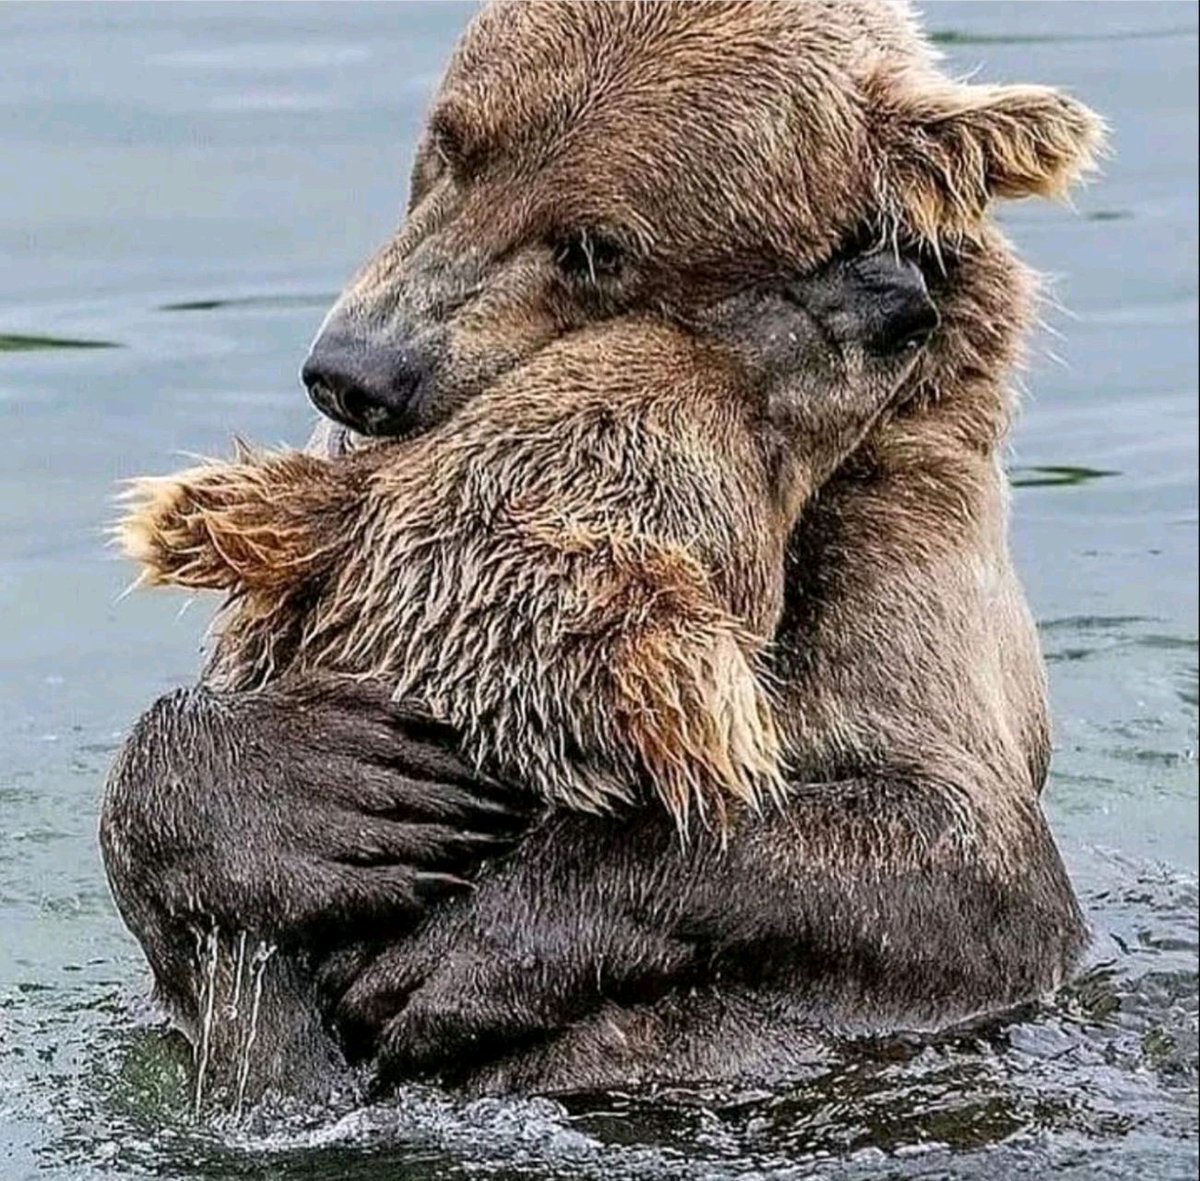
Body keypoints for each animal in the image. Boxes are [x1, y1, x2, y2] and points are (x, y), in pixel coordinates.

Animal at [100, 0, 1106, 1100]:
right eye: (453, 142)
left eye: (594, 245)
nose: (356, 370)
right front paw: (329, 787)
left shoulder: (901, 568)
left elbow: (958, 851)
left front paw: (463, 954)